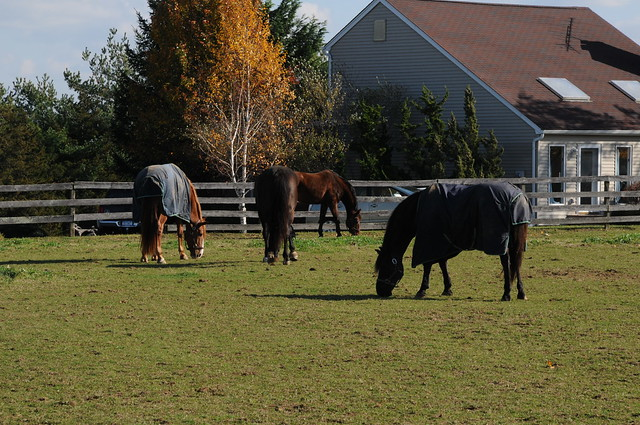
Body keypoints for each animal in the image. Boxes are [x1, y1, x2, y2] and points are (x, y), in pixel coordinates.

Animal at [375, 182, 531, 301]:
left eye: (385, 266)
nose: (380, 291)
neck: (417, 210)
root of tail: (518, 197)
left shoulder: (430, 240)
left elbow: (428, 265)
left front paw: (422, 289)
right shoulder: (444, 241)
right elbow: (442, 263)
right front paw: (447, 288)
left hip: (500, 241)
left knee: (506, 262)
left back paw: (506, 294)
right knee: (516, 262)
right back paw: (521, 292)